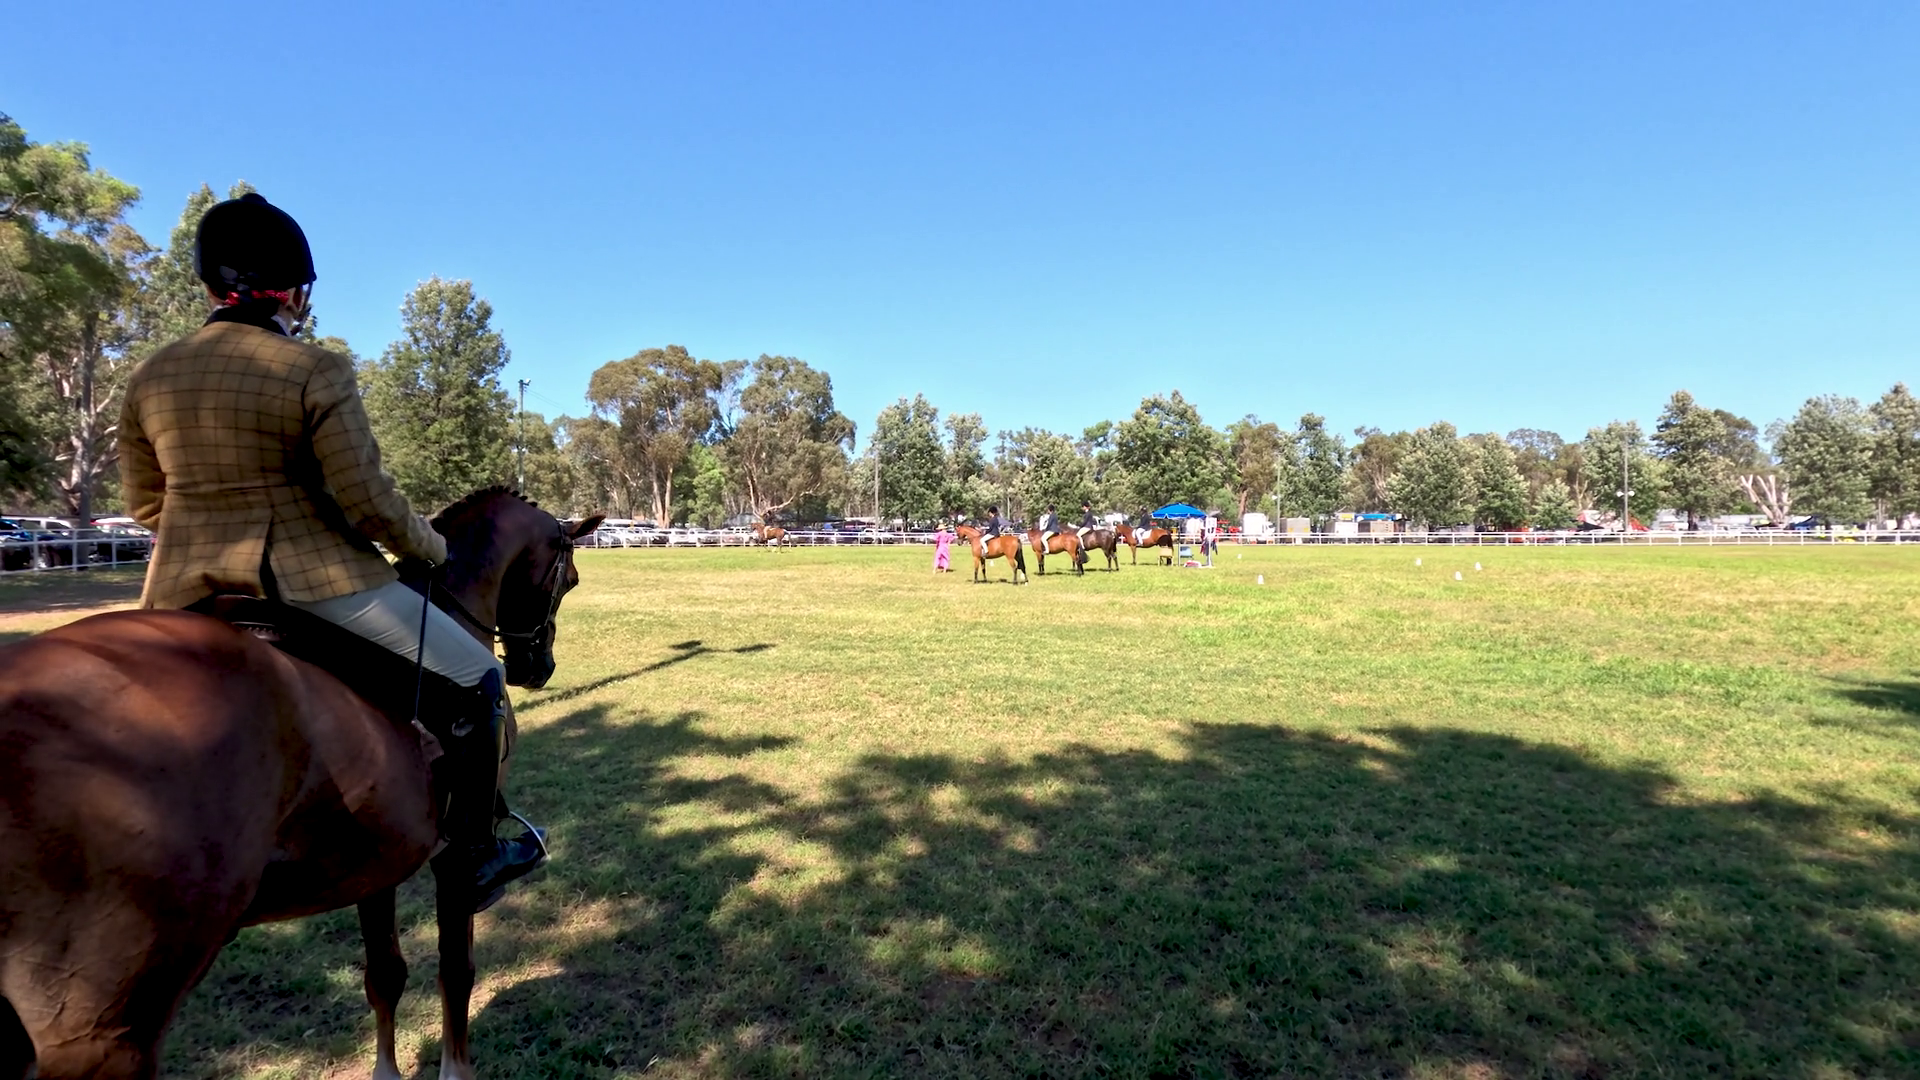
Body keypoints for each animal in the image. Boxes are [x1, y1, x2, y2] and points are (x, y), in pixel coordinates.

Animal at [0, 488, 602, 1080]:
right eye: (569, 579)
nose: (537, 669)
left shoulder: (379, 858)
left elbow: (385, 975)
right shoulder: (452, 860)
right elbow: (456, 972)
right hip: (103, 1026)